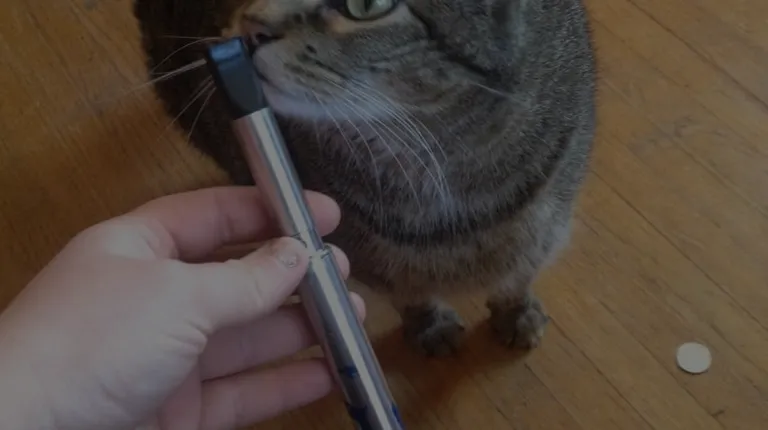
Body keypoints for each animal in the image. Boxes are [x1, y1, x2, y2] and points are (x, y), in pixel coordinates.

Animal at [133, 0, 596, 356]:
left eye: (367, 5)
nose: (250, 25)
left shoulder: (547, 221)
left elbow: (518, 274)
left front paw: (517, 313)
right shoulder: (365, 257)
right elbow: (409, 293)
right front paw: (429, 326)